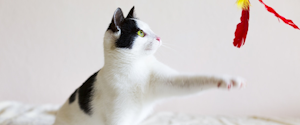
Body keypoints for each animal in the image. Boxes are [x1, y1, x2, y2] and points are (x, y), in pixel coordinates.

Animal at [54, 6, 246, 125]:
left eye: (150, 29)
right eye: (140, 32)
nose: (159, 37)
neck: (135, 66)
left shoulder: (165, 81)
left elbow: (192, 81)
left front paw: (228, 80)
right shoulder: (118, 117)